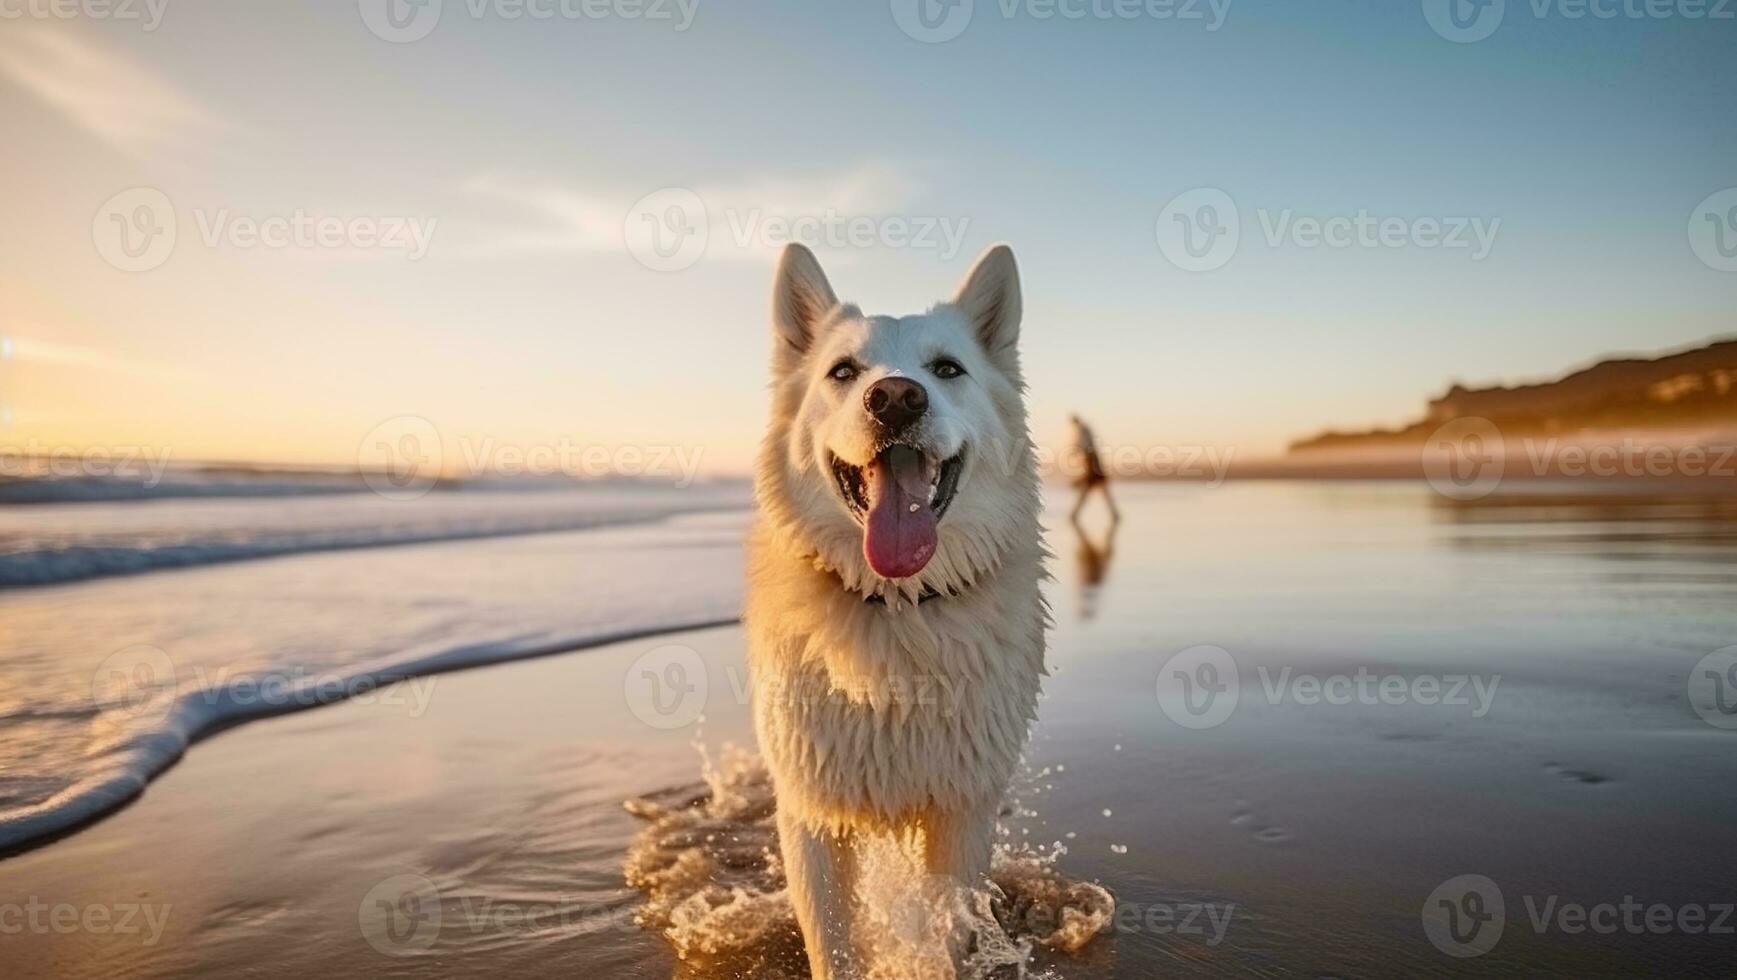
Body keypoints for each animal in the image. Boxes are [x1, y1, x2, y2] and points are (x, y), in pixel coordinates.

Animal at [743, 241, 1042, 973]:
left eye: (947, 369)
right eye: (844, 371)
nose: (897, 397)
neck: (897, 605)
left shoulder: (962, 813)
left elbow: (948, 938)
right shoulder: (810, 815)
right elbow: (833, 946)